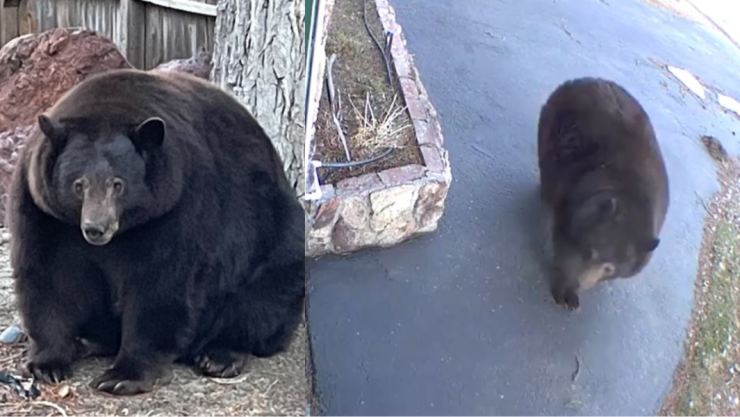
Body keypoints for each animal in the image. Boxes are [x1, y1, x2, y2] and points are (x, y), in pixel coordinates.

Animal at [7, 68, 305, 395]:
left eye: (118, 183)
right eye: (78, 184)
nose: (96, 228)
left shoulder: (177, 205)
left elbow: (160, 284)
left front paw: (122, 375)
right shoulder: (43, 210)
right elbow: (49, 275)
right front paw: (48, 363)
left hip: (273, 235)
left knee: (262, 299)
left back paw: (220, 355)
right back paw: (88, 341)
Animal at [537, 77, 669, 311]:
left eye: (610, 268)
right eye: (590, 252)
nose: (579, 284)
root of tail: (585, 79)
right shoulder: (572, 202)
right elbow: (564, 248)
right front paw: (565, 291)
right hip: (551, 128)